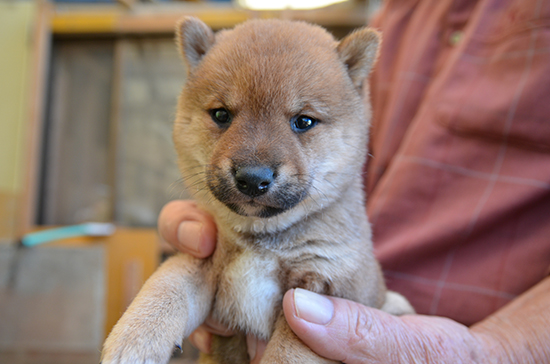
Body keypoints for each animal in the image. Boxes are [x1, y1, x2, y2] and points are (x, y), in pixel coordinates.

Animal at [103, 15, 414, 362]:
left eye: (304, 121)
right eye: (221, 114)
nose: (252, 178)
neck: (262, 243)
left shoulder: (319, 287)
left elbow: (287, 353)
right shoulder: (205, 259)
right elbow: (166, 284)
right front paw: (135, 339)